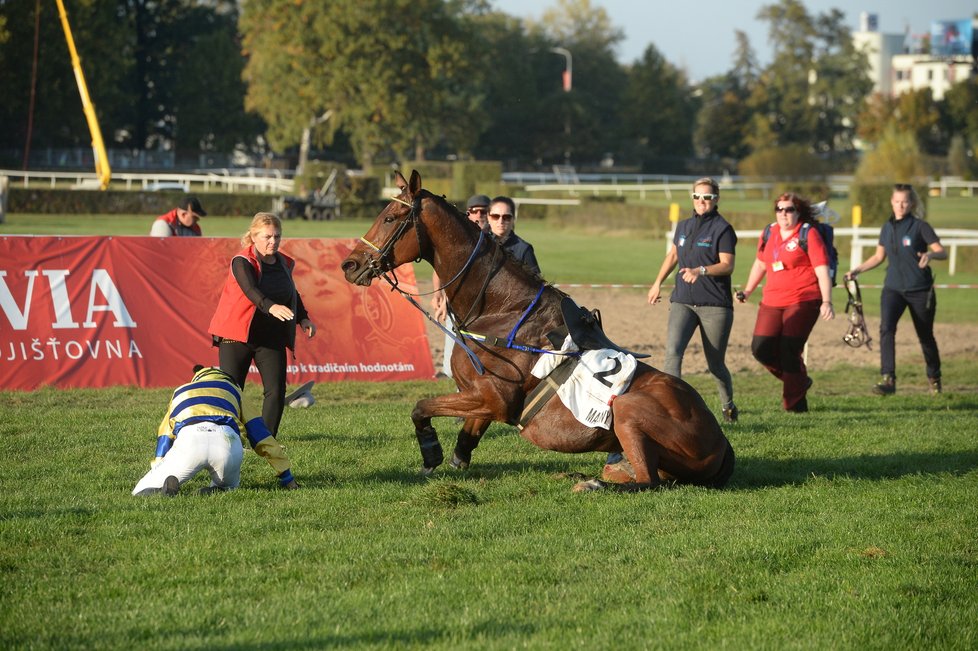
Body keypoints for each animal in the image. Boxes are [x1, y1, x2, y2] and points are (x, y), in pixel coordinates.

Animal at [340, 171, 728, 492]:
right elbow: (464, 443)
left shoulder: (494, 399)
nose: (349, 263)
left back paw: (592, 484)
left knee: (648, 481)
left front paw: (429, 452)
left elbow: (421, 407)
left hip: (629, 409)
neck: (500, 312)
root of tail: (723, 444)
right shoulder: (482, 400)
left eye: (390, 217)